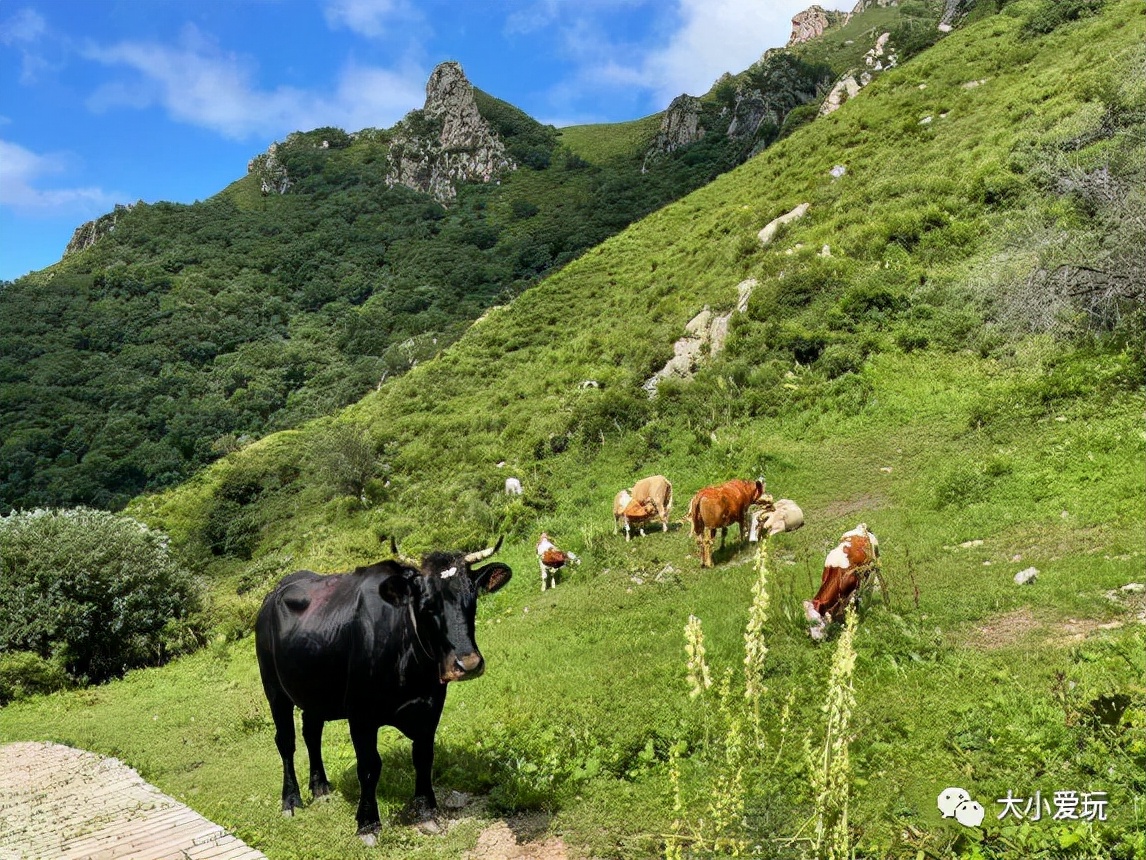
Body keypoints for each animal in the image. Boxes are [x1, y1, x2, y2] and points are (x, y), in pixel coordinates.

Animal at [260, 538, 515, 843]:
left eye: (472, 599)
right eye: (427, 605)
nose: (469, 664)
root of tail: (276, 591)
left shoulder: (430, 707)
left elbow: (423, 757)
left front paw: (426, 812)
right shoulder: (361, 715)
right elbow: (369, 767)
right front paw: (368, 824)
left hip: (315, 692)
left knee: (312, 732)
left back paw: (320, 787)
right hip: (274, 689)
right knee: (286, 741)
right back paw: (290, 800)